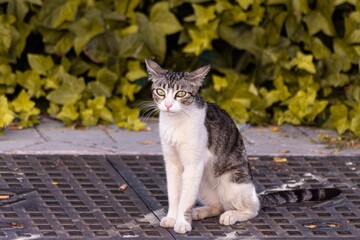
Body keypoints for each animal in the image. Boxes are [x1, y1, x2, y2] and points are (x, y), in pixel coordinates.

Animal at [145, 59, 342, 233]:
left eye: (180, 94)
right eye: (161, 92)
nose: (168, 105)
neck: (175, 123)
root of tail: (255, 194)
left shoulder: (194, 165)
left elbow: (185, 198)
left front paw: (182, 222)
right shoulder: (172, 163)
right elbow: (174, 194)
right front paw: (172, 217)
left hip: (232, 181)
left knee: (252, 209)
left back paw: (232, 215)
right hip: (204, 182)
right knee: (218, 205)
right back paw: (201, 211)